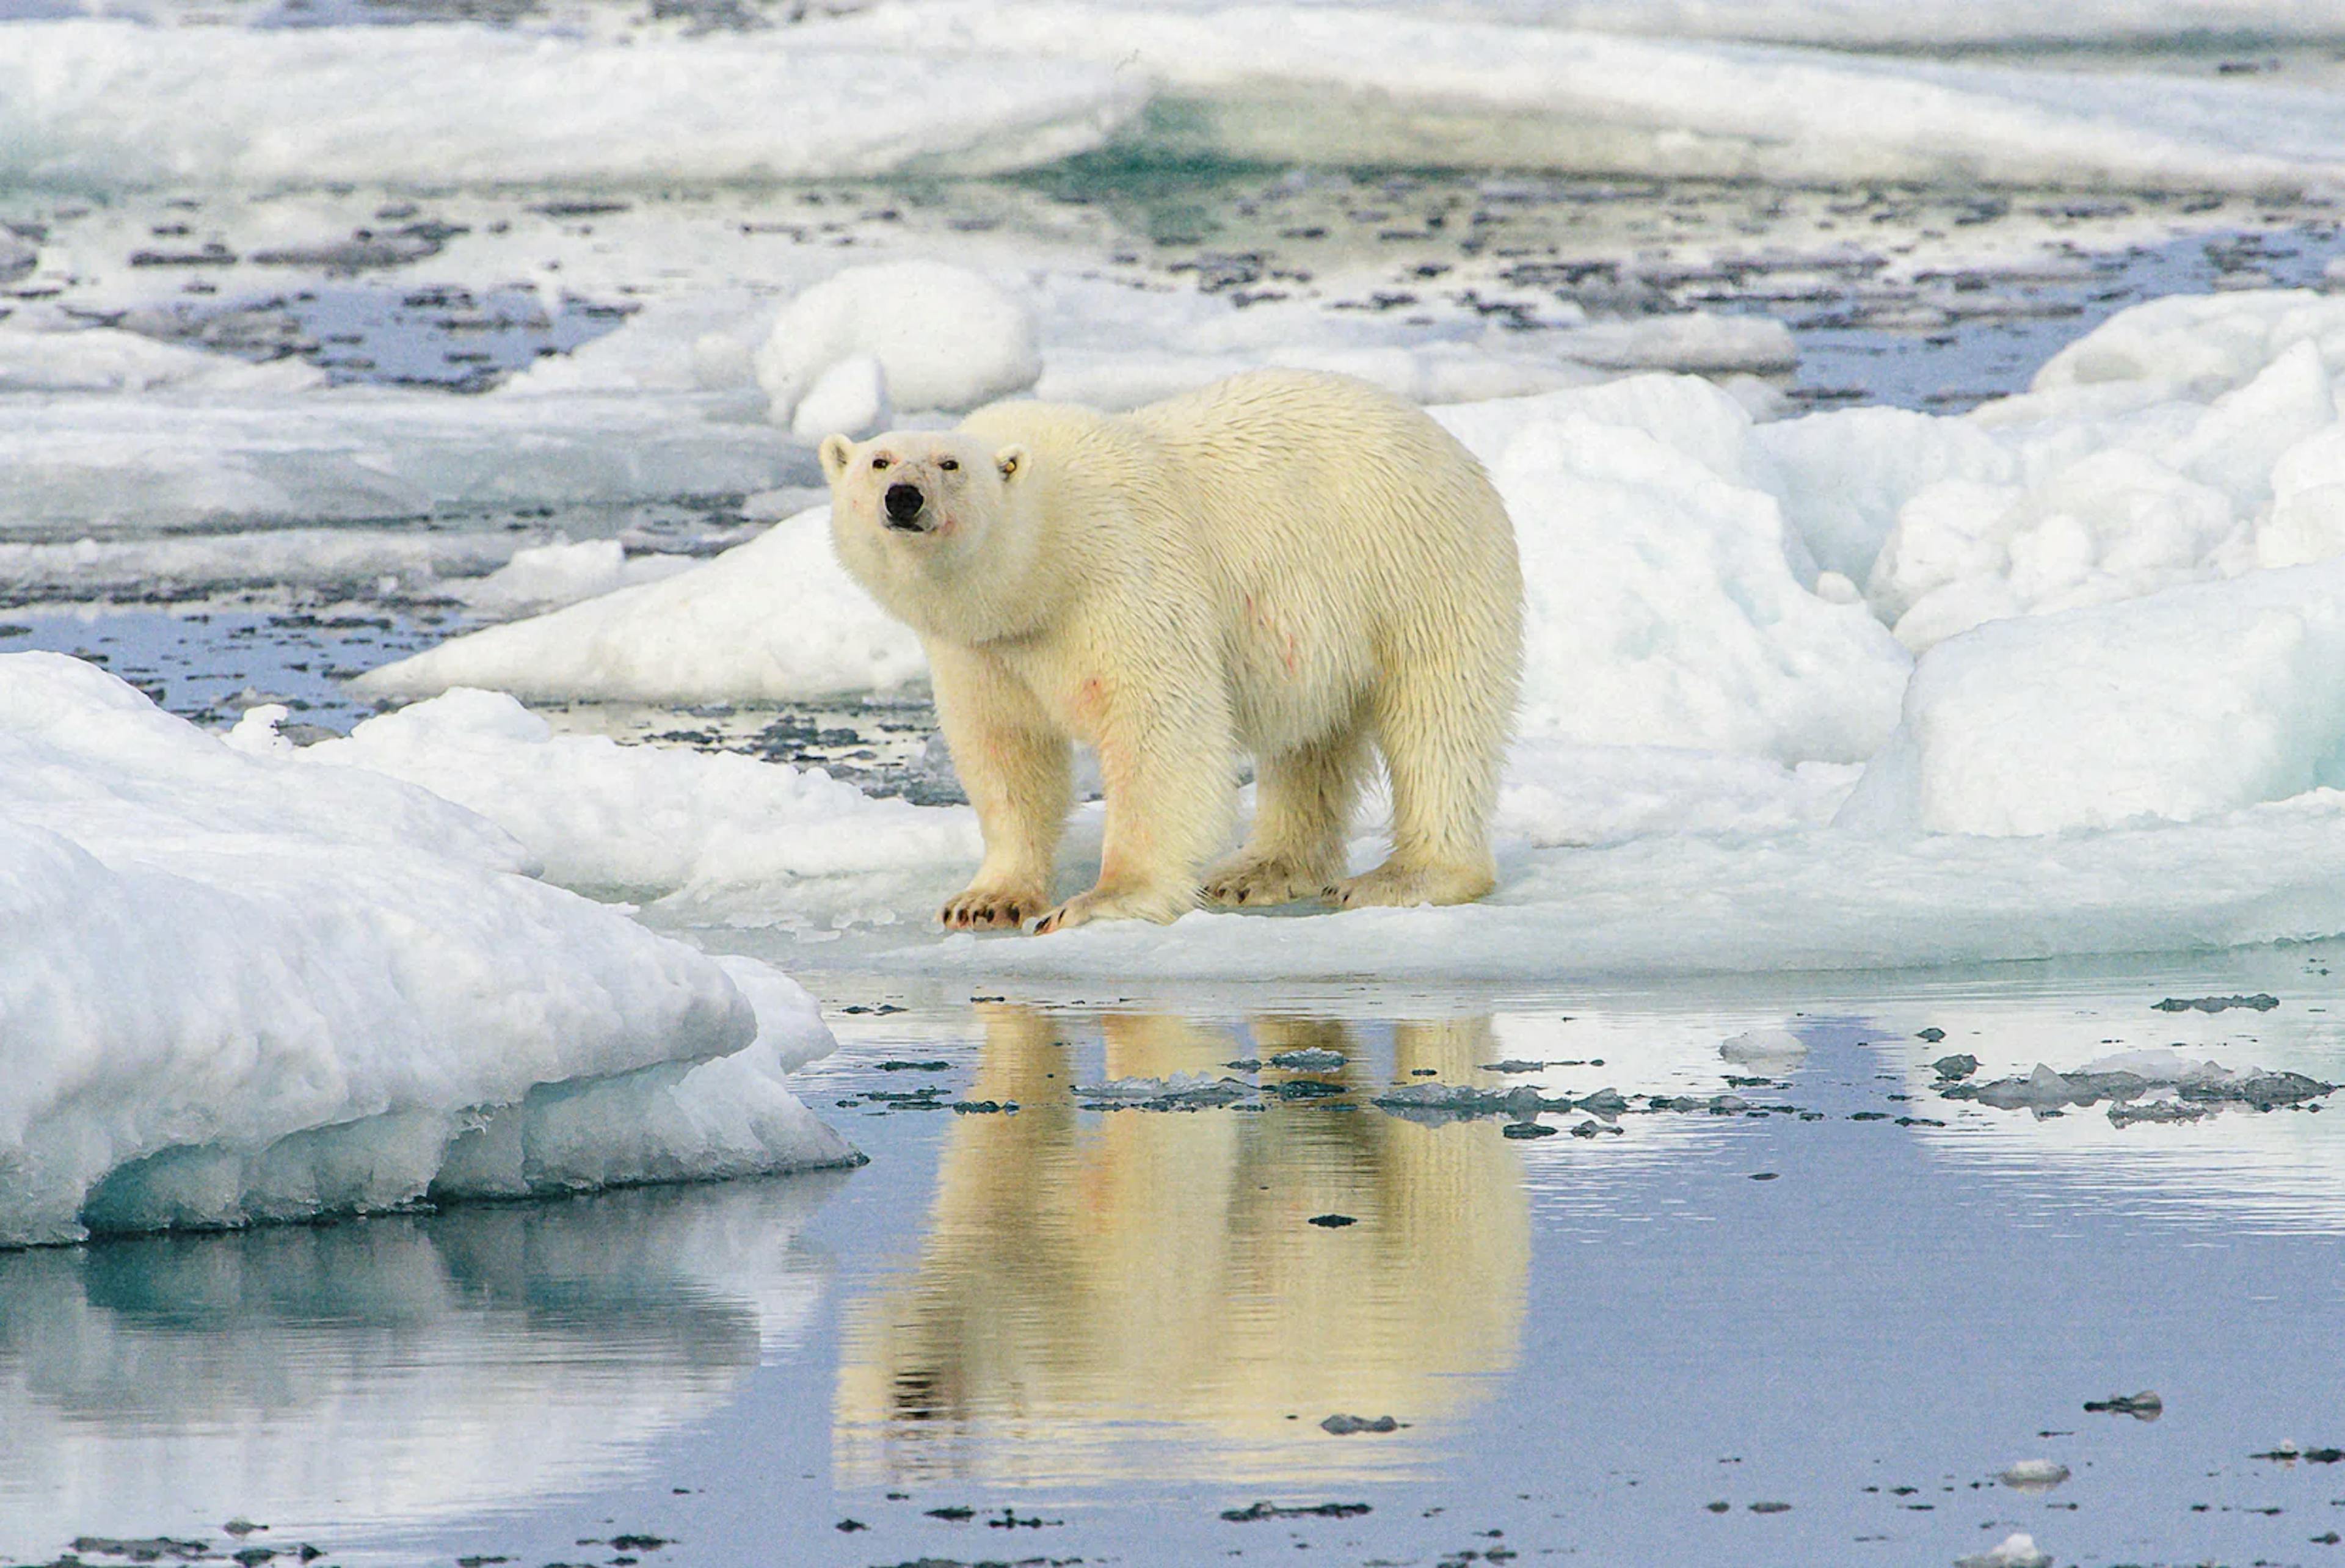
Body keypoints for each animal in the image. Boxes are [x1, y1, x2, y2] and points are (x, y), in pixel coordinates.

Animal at [821, 368, 1519, 928]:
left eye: (950, 465)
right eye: (879, 461)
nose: (903, 498)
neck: (1048, 556)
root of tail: (1447, 443)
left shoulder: (1123, 579)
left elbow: (1159, 728)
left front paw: (1100, 901)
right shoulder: (983, 650)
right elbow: (1005, 751)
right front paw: (985, 901)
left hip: (1416, 566)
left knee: (1438, 720)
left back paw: (1406, 877)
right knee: (1309, 741)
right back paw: (1257, 870)